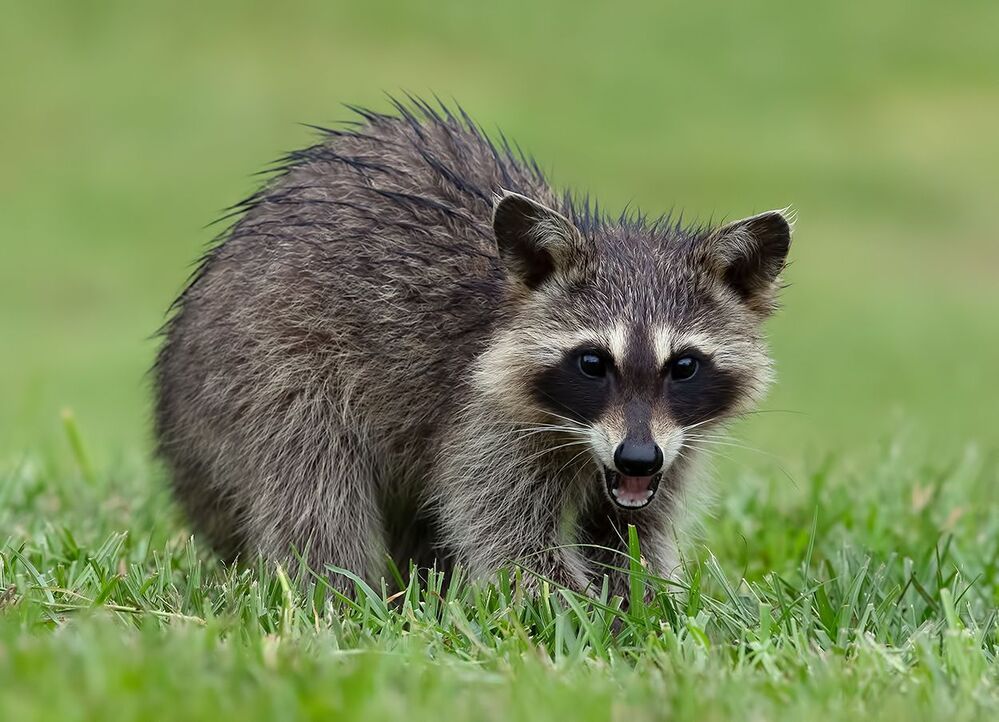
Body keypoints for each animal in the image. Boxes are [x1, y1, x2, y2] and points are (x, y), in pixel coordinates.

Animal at [154, 99, 791, 596]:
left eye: (683, 366)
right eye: (592, 363)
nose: (637, 459)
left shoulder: (674, 448)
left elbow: (634, 538)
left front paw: (645, 607)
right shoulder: (486, 422)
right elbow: (508, 540)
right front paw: (587, 621)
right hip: (265, 372)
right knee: (313, 492)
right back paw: (339, 598)